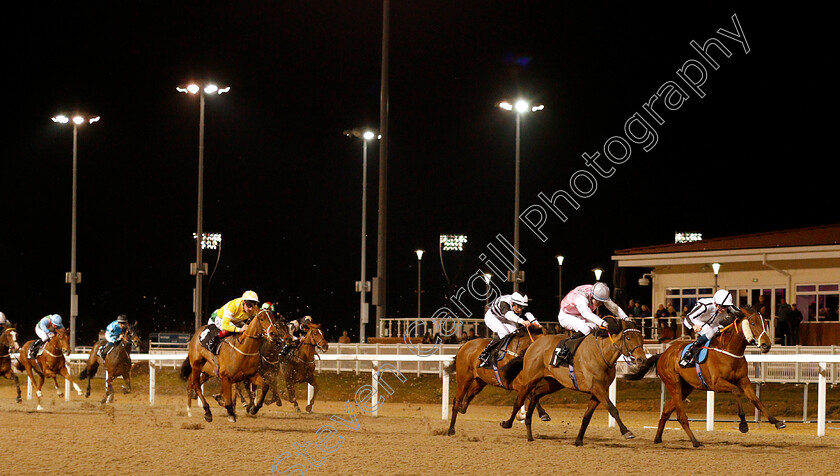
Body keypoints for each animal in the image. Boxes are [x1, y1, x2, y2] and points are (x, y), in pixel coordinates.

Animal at [502, 318, 648, 444]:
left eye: (641, 338)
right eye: (628, 338)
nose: (642, 360)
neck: (601, 354)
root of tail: (533, 344)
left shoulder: (598, 391)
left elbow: (587, 417)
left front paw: (578, 441)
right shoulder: (598, 389)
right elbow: (612, 409)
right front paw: (627, 432)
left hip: (553, 383)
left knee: (535, 394)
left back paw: (530, 430)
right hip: (529, 378)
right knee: (519, 400)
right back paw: (507, 423)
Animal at [628, 304, 784, 446]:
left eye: (765, 323)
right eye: (753, 323)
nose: (766, 345)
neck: (729, 350)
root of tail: (663, 354)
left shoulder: (743, 380)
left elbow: (756, 400)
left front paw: (776, 422)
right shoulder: (716, 383)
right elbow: (736, 391)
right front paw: (743, 424)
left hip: (685, 388)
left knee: (666, 411)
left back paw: (658, 438)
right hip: (673, 384)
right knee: (680, 416)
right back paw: (695, 441)